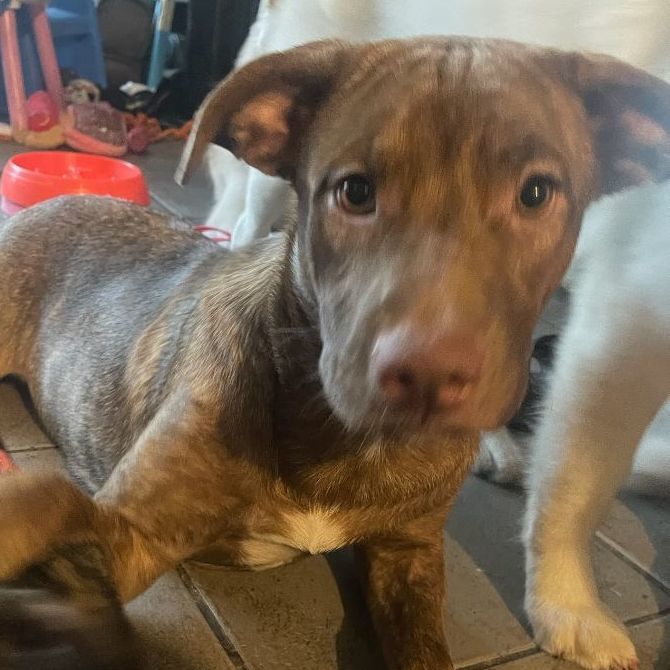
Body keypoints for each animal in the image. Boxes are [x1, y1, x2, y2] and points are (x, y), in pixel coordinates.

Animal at [1, 37, 669, 670]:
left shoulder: (410, 552)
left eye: (535, 193)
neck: (348, 440)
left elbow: (427, 649)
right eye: (355, 191)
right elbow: (52, 499)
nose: (429, 376)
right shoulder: (136, 534)